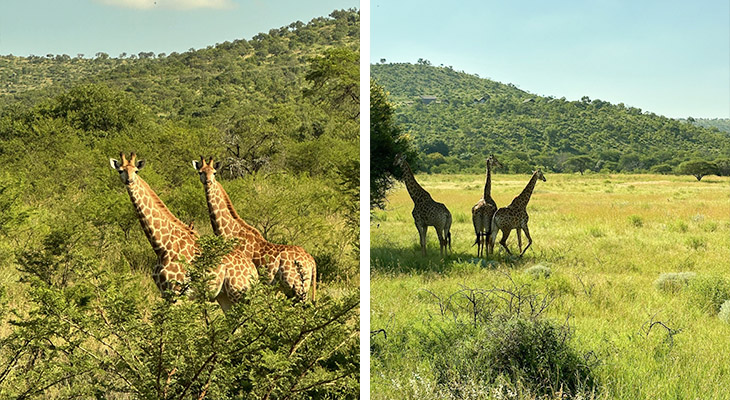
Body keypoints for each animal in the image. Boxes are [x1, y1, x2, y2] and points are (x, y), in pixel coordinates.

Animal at [110, 153, 258, 311]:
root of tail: (254, 270)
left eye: (136, 171)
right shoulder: (165, 293)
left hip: (239, 293)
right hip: (224, 296)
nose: (129, 181)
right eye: (121, 170)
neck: (161, 244)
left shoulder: (177, 293)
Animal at [192, 157, 317, 302]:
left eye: (214, 172)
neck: (229, 232)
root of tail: (311, 261)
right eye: (200, 172)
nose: (208, 182)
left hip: (297, 287)